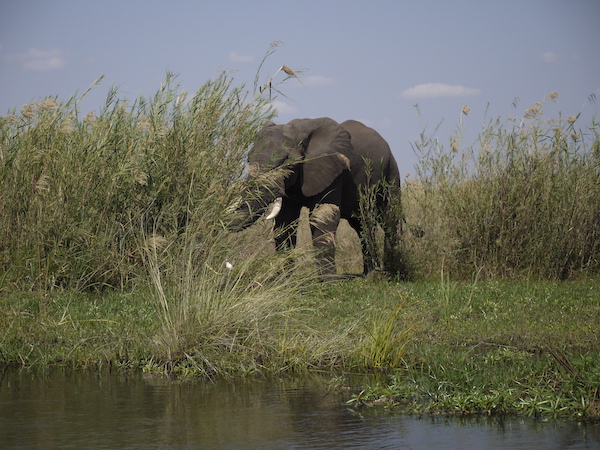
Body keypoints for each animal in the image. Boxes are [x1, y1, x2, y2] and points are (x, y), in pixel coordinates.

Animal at [232, 116, 400, 276]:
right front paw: (284, 280)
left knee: (390, 218)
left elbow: (323, 216)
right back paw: (369, 273)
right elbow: (285, 221)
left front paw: (328, 281)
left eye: (286, 161)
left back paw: (393, 269)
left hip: (391, 170)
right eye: (248, 159)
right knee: (361, 224)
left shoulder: (333, 170)